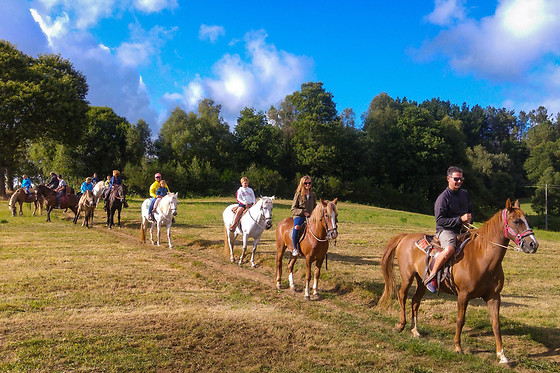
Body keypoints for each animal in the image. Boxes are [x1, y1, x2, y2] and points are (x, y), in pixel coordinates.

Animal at [378, 198, 540, 364]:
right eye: (516, 221)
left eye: (527, 221)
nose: (533, 244)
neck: (482, 257)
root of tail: (405, 237)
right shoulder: (463, 295)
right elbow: (460, 320)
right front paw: (457, 347)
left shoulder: (494, 297)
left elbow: (496, 323)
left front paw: (502, 355)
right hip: (407, 277)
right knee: (402, 296)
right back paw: (400, 325)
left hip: (422, 282)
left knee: (415, 301)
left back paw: (415, 330)